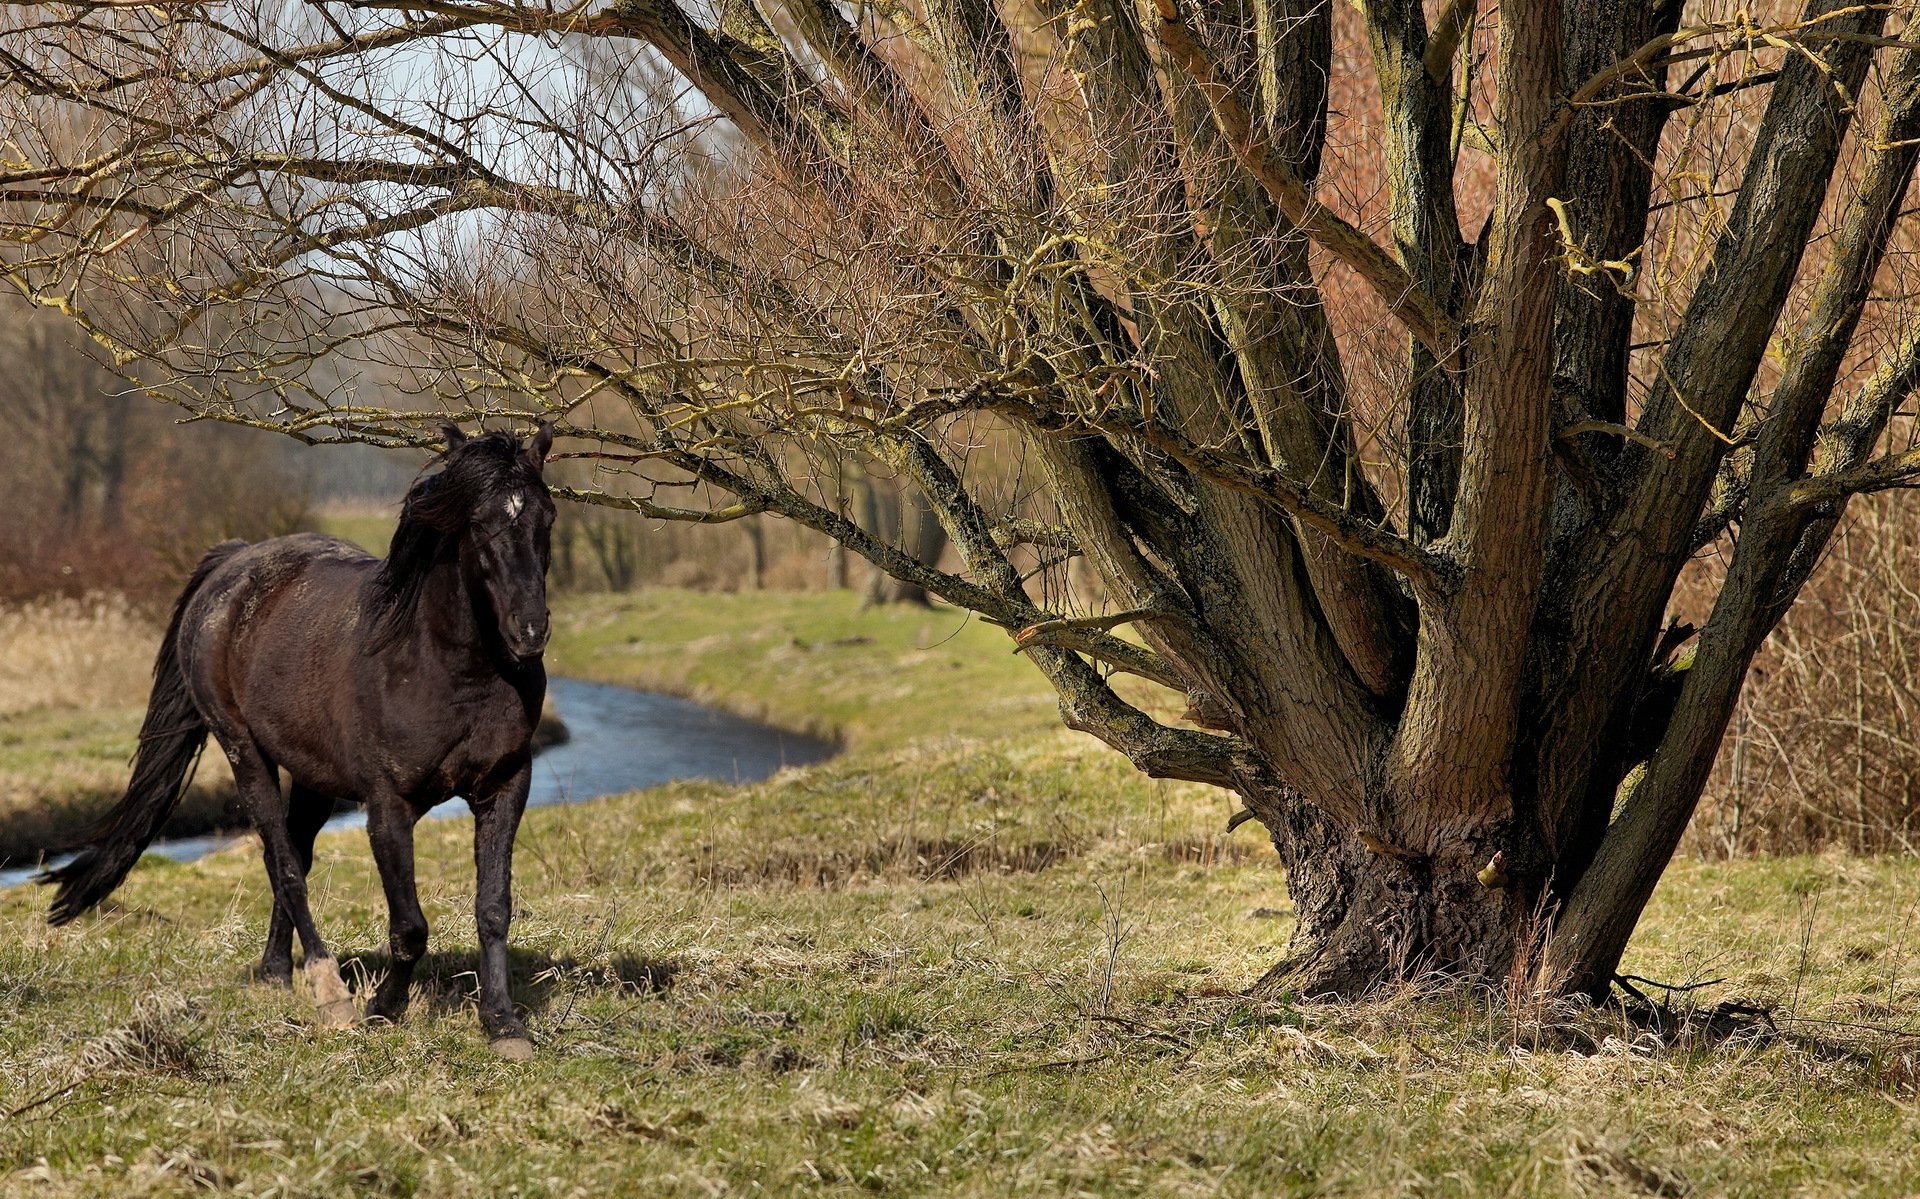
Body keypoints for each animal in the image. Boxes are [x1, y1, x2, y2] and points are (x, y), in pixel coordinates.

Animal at [41, 421, 557, 1059]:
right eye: (480, 523)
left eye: (547, 517)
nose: (529, 632)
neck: (445, 666)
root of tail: (234, 561)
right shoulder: (388, 807)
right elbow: (409, 925)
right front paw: (383, 1008)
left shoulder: (505, 788)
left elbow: (493, 908)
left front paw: (504, 1024)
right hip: (244, 752)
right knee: (283, 861)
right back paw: (329, 992)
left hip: (313, 777)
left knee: (291, 856)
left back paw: (275, 971)